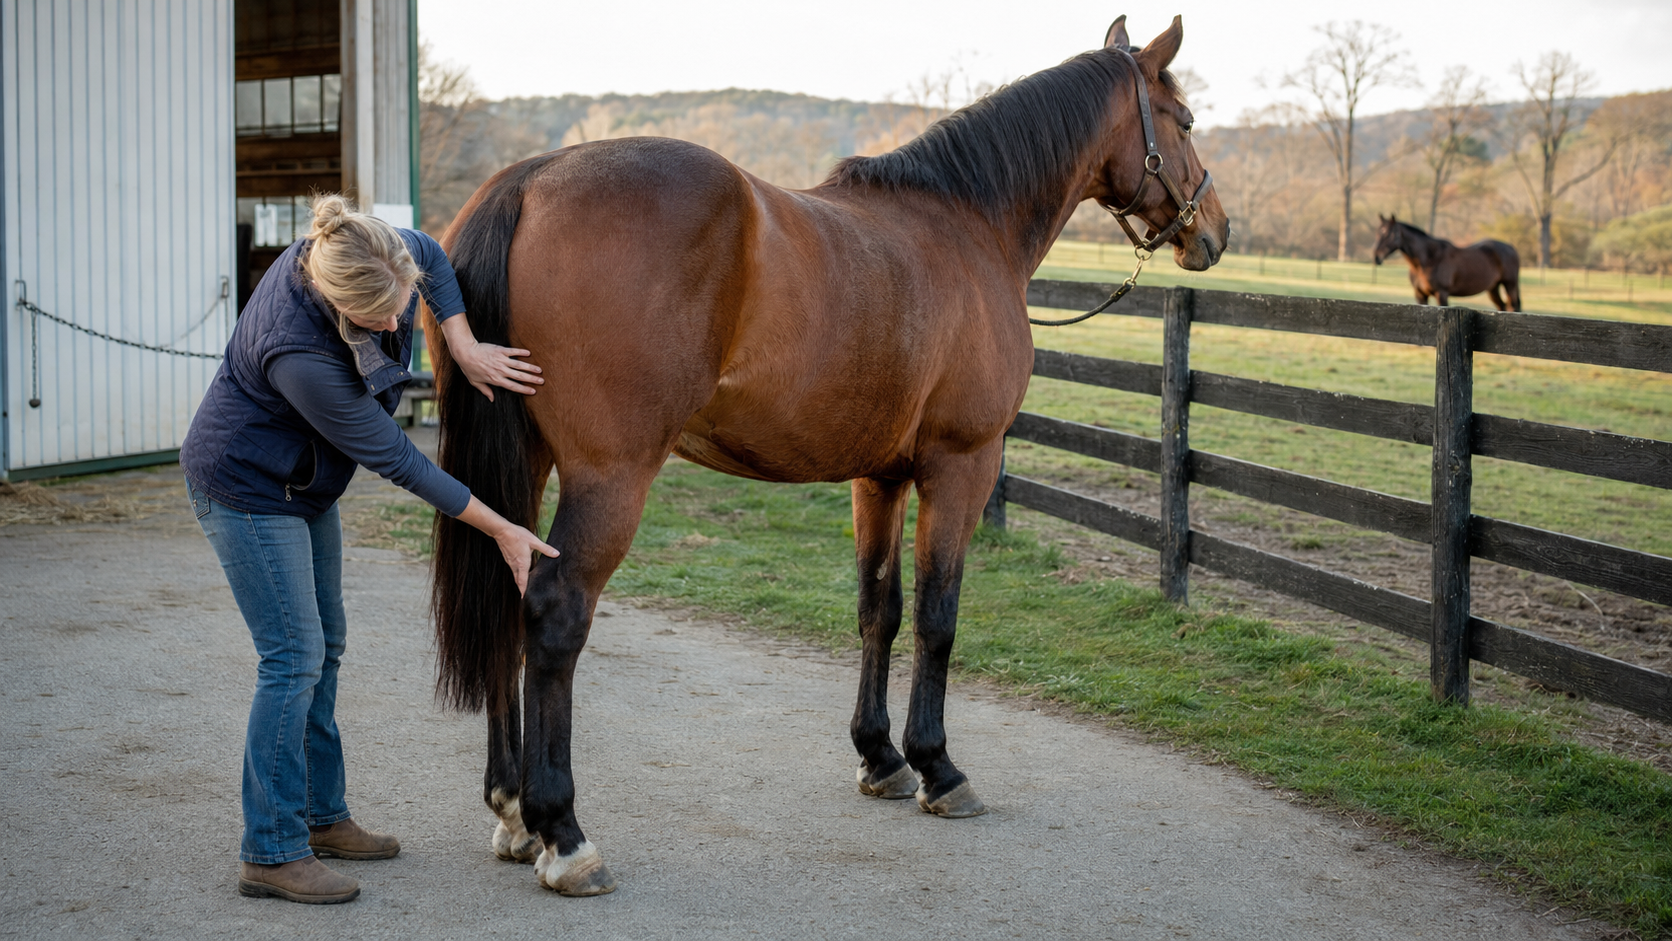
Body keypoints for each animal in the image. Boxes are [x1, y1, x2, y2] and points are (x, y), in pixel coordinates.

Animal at [427, 13, 1228, 897]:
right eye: (1185, 121)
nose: (1215, 232)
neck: (967, 223)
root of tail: (531, 181)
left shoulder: (878, 476)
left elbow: (880, 609)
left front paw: (881, 757)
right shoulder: (961, 464)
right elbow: (939, 615)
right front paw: (939, 765)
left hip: (525, 465)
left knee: (508, 594)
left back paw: (511, 811)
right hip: (611, 475)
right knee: (555, 611)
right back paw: (563, 831)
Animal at [1372, 214, 1522, 311]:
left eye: (1391, 234)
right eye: (1378, 233)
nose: (1376, 257)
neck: (1428, 260)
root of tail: (1511, 247)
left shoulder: (1441, 294)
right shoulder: (1420, 294)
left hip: (1509, 285)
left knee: (1512, 306)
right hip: (1493, 288)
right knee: (1502, 306)